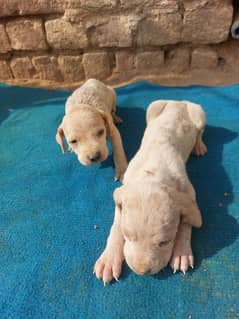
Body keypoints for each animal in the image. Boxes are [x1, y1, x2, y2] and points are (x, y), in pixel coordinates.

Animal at [93, 100, 207, 284]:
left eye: (164, 242)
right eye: (128, 236)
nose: (142, 271)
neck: (152, 173)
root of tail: (179, 101)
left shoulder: (188, 193)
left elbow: (187, 222)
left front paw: (182, 252)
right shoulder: (123, 192)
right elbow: (116, 225)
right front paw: (109, 259)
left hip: (199, 114)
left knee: (200, 132)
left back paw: (198, 145)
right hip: (152, 108)